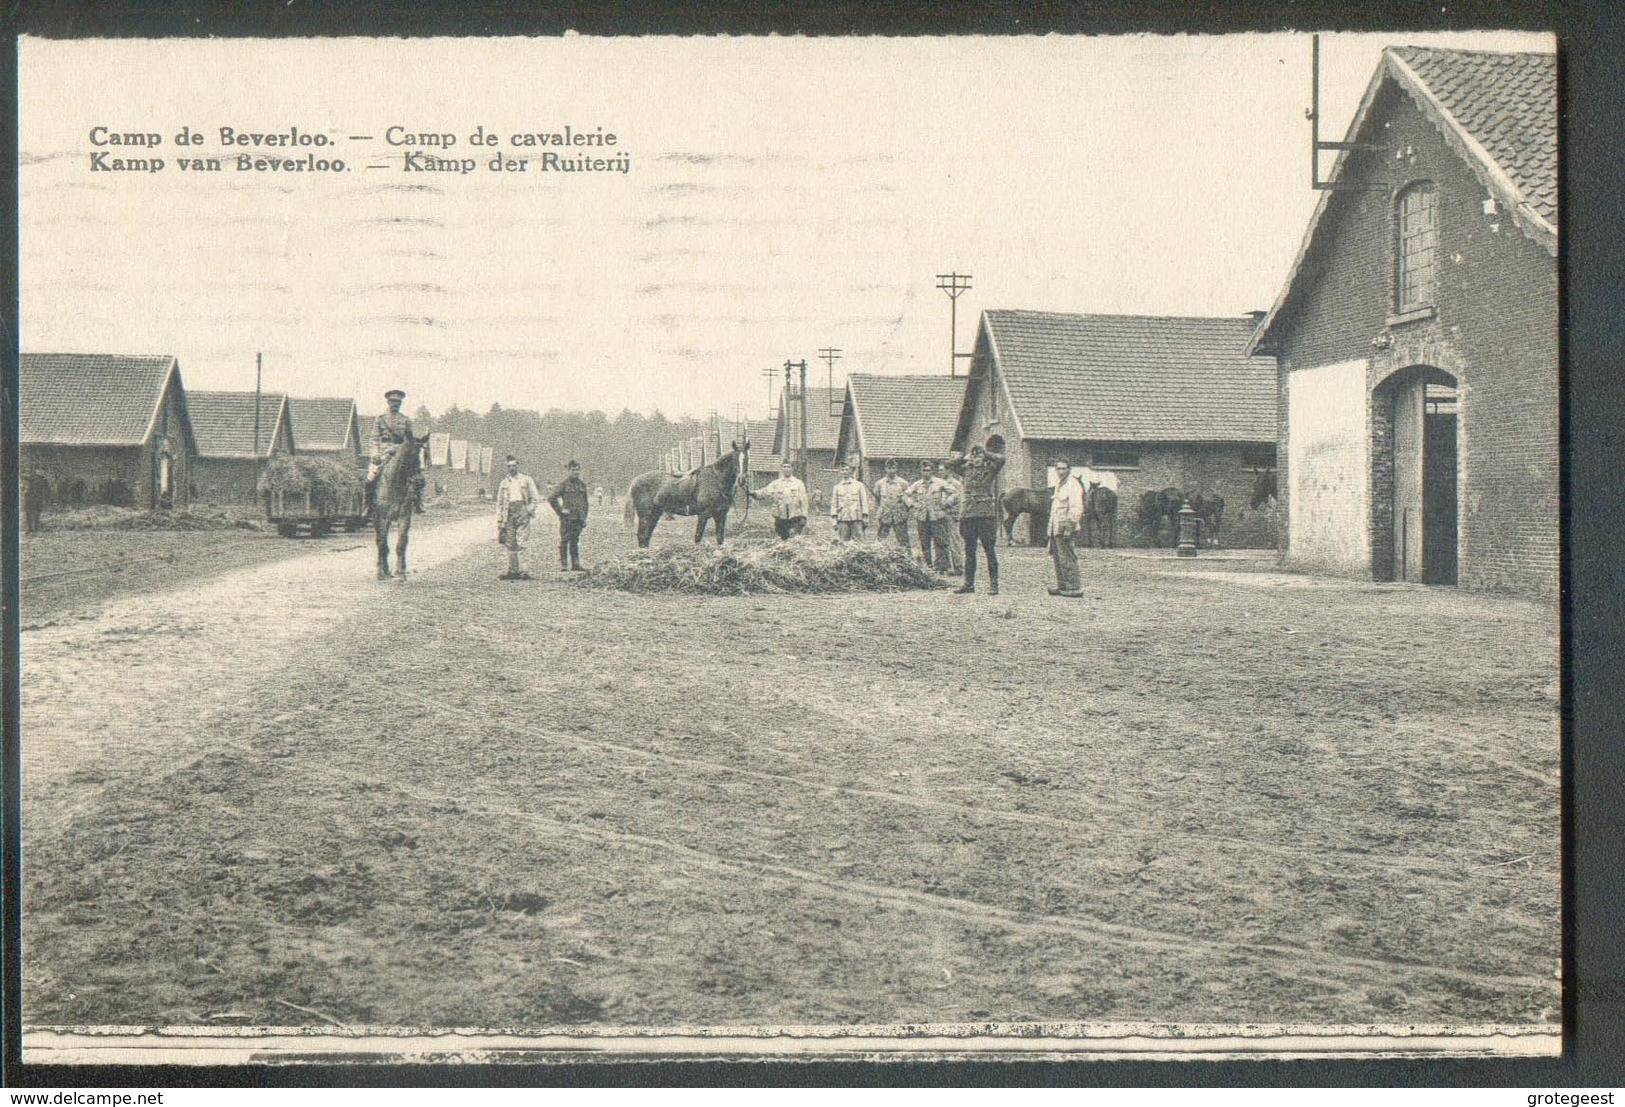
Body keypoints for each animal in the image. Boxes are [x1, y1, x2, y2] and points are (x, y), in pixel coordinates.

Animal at [372, 425, 425, 578]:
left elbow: (401, 542)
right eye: (409, 453)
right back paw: (382, 568)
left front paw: (400, 571)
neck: (395, 483)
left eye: (425, 455)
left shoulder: (404, 517)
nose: (419, 481)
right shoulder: (383, 519)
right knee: (379, 541)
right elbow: (382, 543)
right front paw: (382, 571)